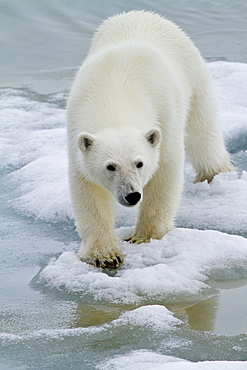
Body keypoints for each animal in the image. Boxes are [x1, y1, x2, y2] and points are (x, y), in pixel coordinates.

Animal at [66, 10, 233, 268]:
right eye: (110, 166)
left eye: (139, 163)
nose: (132, 195)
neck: (115, 92)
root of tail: (141, 13)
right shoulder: (76, 125)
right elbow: (88, 189)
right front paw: (104, 254)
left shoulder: (164, 111)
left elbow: (165, 169)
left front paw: (144, 237)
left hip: (193, 75)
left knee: (203, 132)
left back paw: (215, 173)